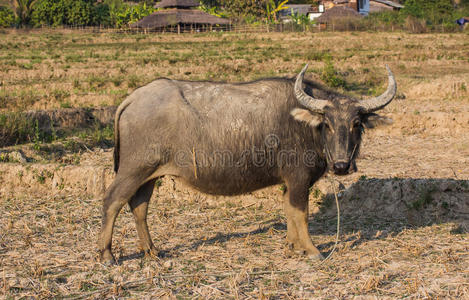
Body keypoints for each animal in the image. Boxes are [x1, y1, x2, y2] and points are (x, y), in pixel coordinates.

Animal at [98, 64, 394, 264]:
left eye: (357, 124)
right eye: (328, 124)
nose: (342, 166)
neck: (303, 126)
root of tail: (133, 98)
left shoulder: (288, 182)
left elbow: (288, 211)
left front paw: (292, 245)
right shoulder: (298, 179)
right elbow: (302, 213)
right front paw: (312, 250)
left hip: (149, 175)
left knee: (139, 206)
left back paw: (151, 250)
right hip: (133, 169)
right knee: (113, 200)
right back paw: (107, 254)